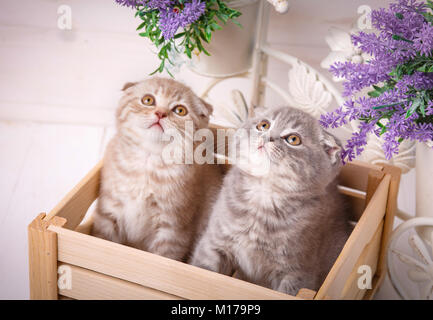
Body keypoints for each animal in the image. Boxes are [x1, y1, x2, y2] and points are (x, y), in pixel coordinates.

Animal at [90, 78, 221, 262]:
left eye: (180, 110)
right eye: (148, 100)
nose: (160, 114)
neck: (148, 163)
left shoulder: (173, 229)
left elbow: (162, 257)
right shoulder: (108, 212)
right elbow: (103, 241)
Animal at [190, 105, 352, 296]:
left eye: (293, 139)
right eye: (264, 125)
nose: (267, 137)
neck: (263, 193)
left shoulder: (298, 273)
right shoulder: (214, 243)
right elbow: (204, 268)